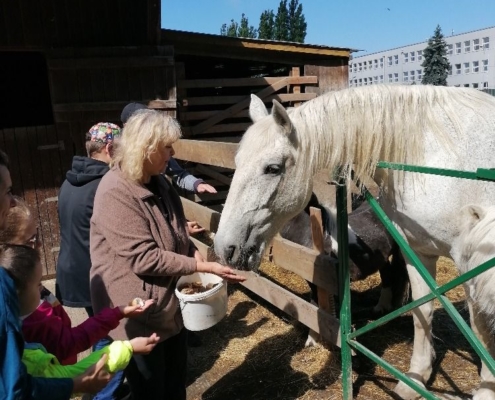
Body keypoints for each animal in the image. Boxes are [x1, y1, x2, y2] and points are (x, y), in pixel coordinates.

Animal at [216, 85, 495, 400]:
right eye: (237, 163)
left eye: (272, 168)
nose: (225, 248)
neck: (430, 155)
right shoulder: (417, 251)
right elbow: (422, 312)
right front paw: (413, 380)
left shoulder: (471, 263)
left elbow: (479, 326)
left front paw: (486, 390)